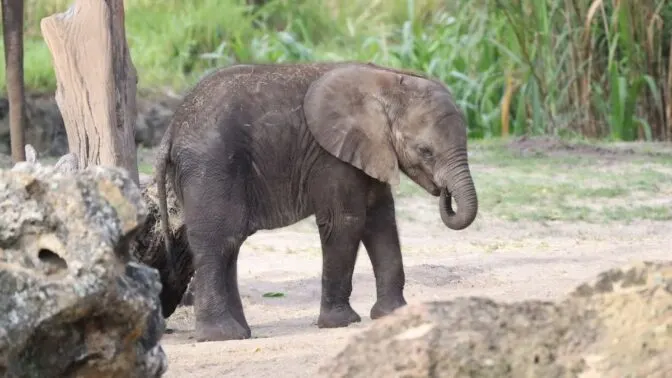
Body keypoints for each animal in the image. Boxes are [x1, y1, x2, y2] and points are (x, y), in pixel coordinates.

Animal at [155, 60, 480, 342]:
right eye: (425, 151)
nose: (444, 193)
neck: (386, 80)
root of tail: (171, 128)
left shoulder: (370, 149)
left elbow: (381, 221)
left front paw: (394, 314)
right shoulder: (332, 156)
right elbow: (346, 222)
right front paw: (342, 323)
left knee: (229, 243)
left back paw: (241, 333)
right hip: (210, 166)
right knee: (217, 242)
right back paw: (222, 336)